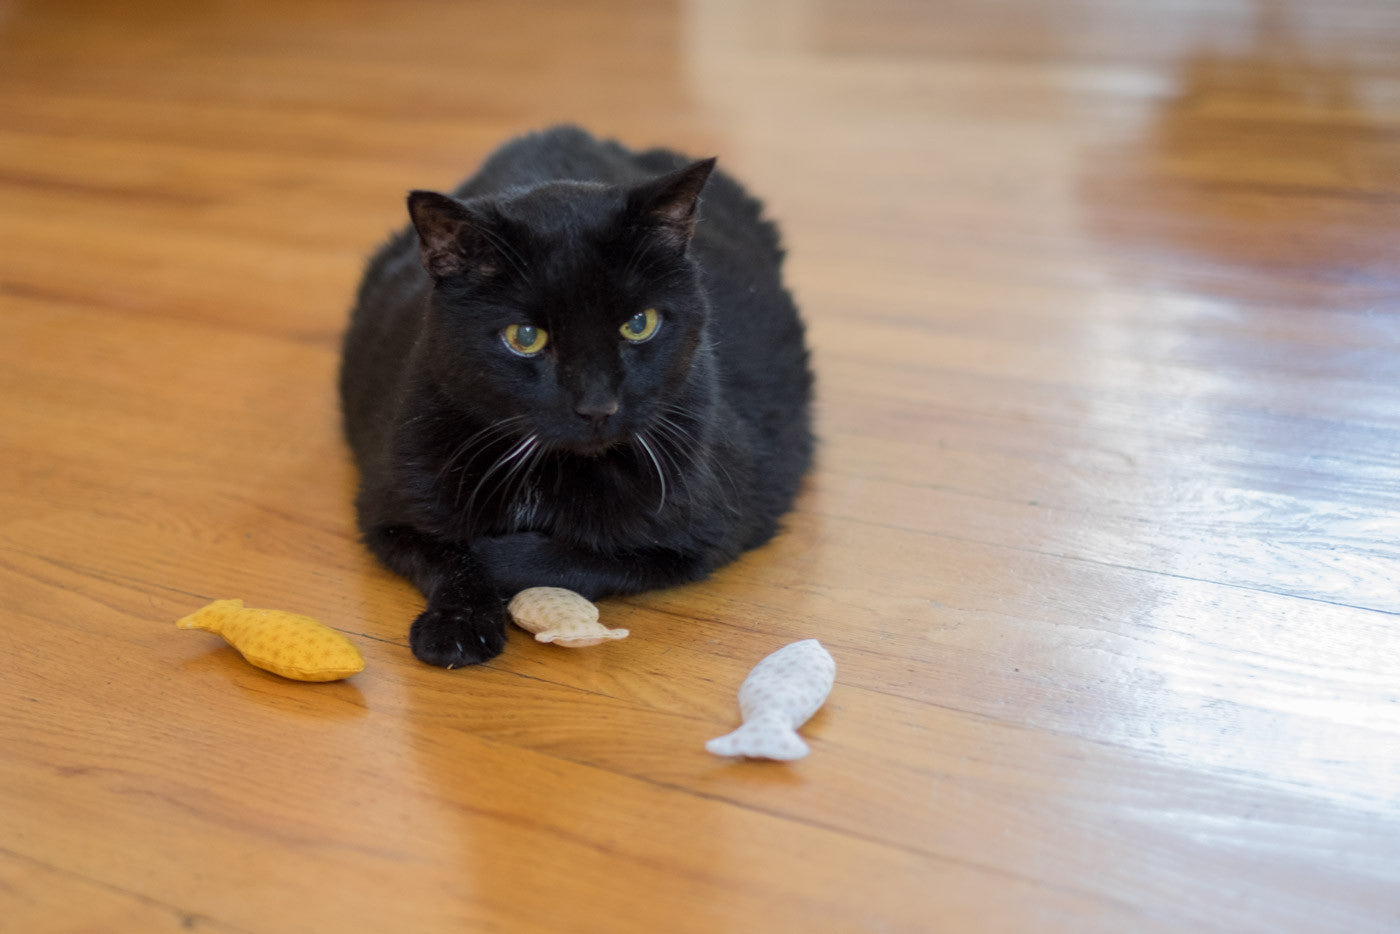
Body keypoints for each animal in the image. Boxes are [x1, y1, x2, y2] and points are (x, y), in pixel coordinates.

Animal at [338, 126, 817, 663]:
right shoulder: (388, 506)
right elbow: (443, 554)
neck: (546, 470)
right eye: (525, 337)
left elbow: (574, 557)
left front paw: (496, 558)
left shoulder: (706, 534)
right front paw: (457, 626)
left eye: (639, 324)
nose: (597, 406)